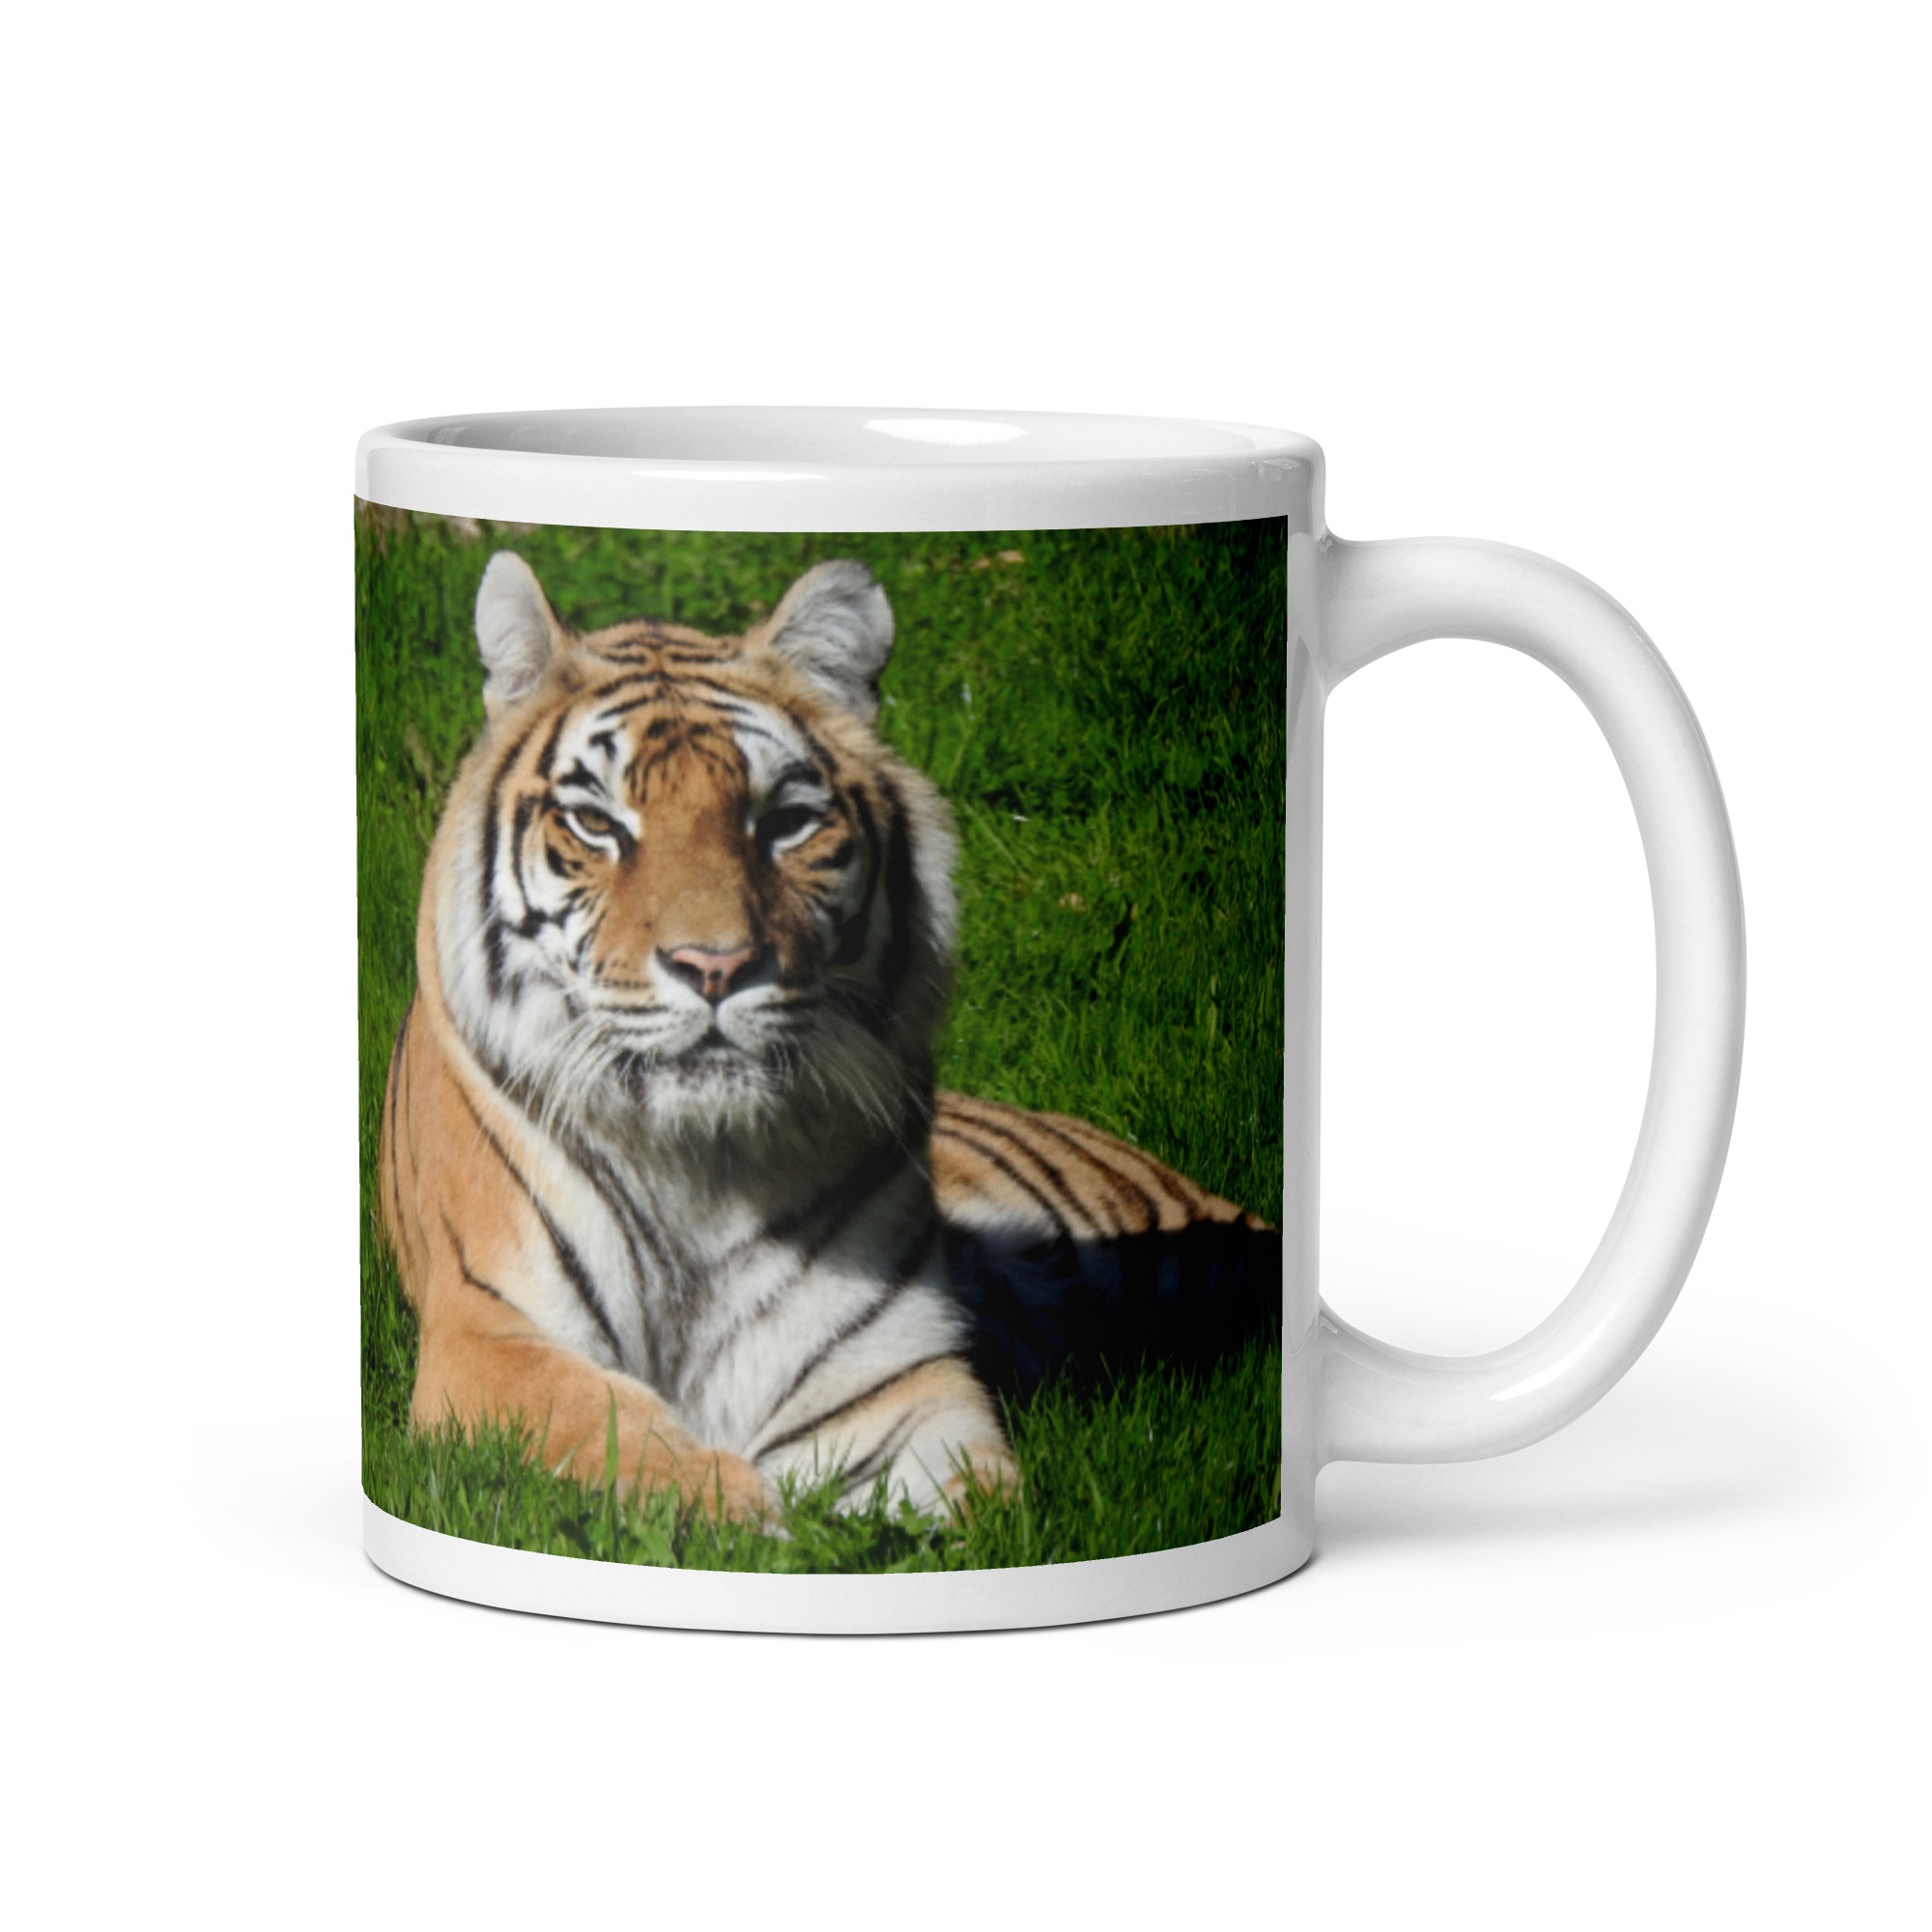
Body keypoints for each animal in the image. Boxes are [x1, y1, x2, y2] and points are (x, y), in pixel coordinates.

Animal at [378, 547, 1273, 1521]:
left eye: (785, 823)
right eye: (596, 824)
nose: (716, 966)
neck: (700, 1171)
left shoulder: (886, 1379)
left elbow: (980, 1513)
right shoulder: (484, 1340)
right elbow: (634, 1453)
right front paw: (746, 1515)